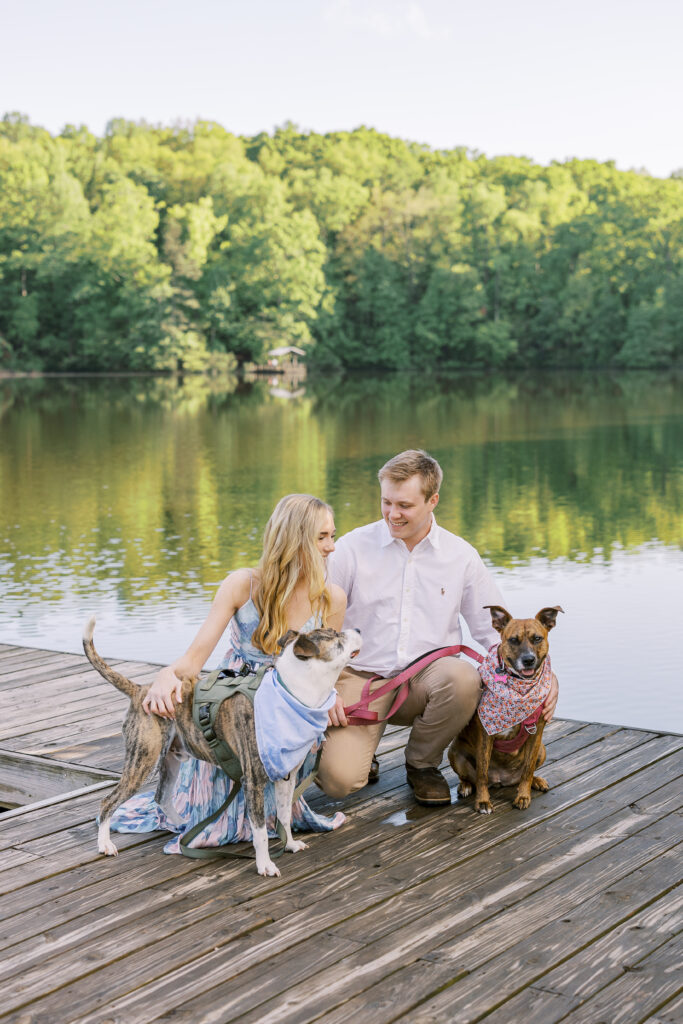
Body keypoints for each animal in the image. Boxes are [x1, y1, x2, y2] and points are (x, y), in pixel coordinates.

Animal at [448, 606, 561, 815]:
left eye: (537, 638)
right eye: (513, 640)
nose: (528, 660)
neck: (520, 689)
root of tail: (502, 779)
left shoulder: (537, 733)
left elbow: (528, 769)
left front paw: (523, 796)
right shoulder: (486, 735)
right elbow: (482, 773)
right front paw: (483, 802)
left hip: (541, 749)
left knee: (526, 772)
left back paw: (537, 781)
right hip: (455, 752)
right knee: (470, 778)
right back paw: (465, 786)